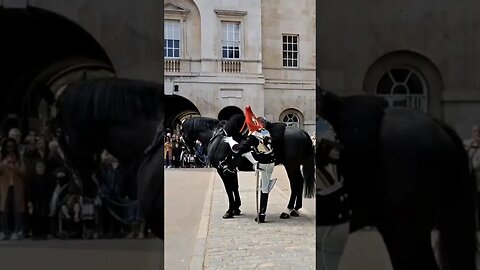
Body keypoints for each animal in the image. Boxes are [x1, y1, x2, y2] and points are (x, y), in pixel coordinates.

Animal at [182, 114, 316, 219]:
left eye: (182, 132)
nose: (189, 150)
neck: (217, 137)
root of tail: (303, 132)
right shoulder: (231, 170)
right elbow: (234, 187)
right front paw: (236, 208)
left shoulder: (222, 170)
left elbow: (229, 189)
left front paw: (229, 211)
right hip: (295, 166)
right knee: (299, 182)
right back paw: (295, 209)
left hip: (291, 166)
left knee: (295, 184)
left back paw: (287, 210)